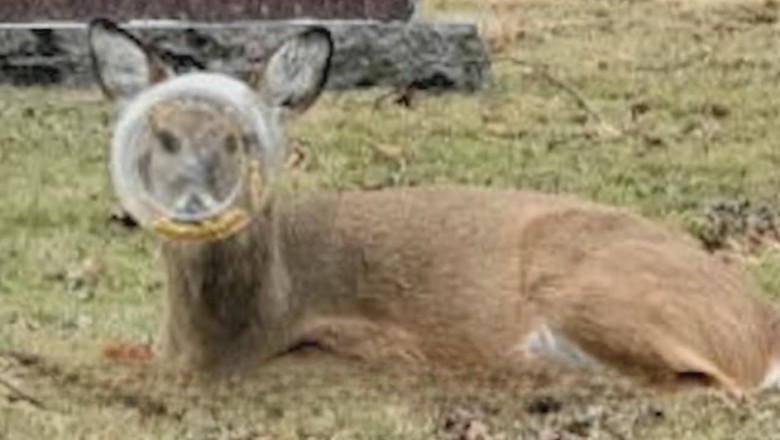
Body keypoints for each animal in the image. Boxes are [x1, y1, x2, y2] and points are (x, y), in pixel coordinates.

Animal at [88, 18, 780, 399]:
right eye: (159, 134)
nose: (195, 201)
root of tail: (760, 324)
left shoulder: (360, 341)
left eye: (245, 138)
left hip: (594, 289)